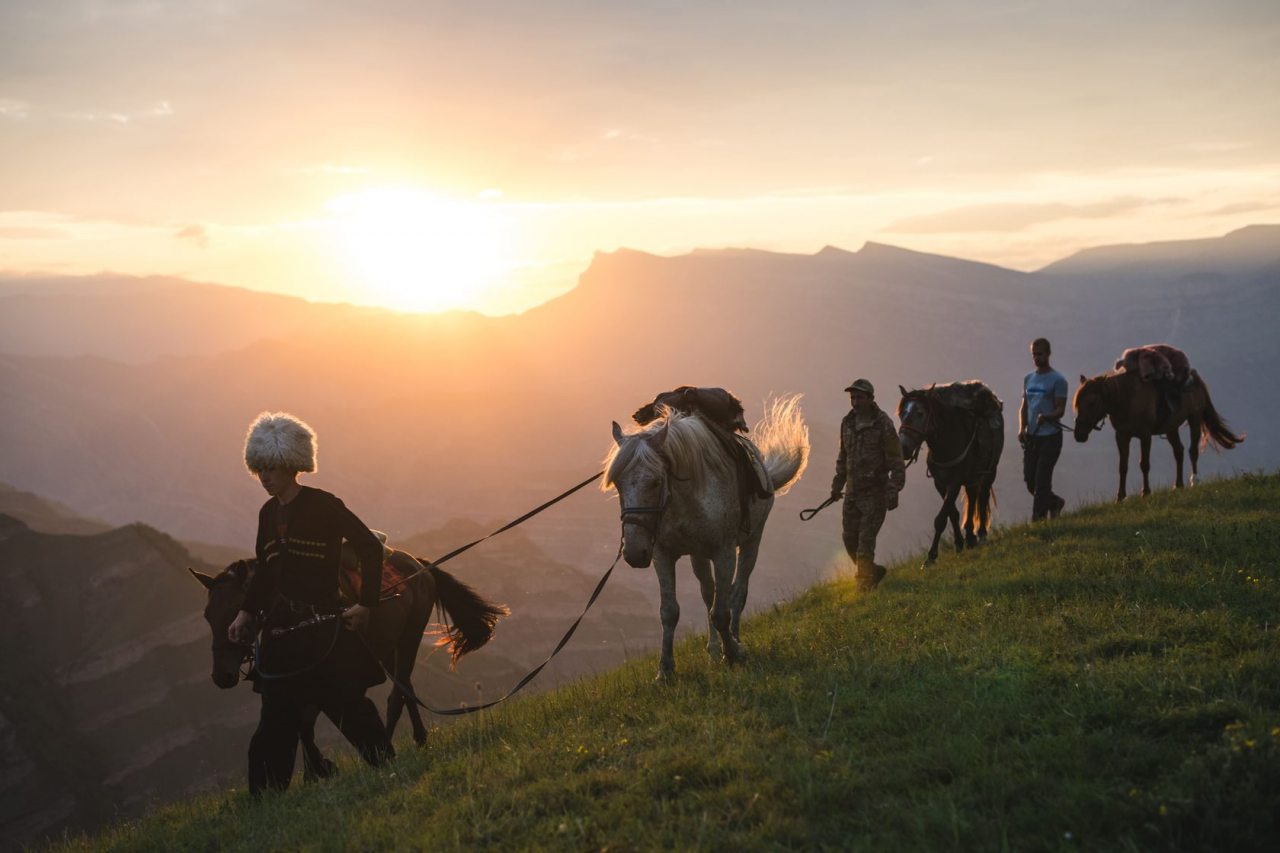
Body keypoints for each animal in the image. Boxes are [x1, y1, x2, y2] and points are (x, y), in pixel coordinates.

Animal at [192, 548, 506, 758]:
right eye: (207, 615)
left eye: (236, 609)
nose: (222, 676)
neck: (299, 614)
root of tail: (419, 565)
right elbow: (304, 724)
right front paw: (317, 774)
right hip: (390, 645)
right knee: (405, 688)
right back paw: (418, 737)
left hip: (410, 636)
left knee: (397, 695)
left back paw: (389, 744)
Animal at [601, 394, 803, 676]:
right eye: (618, 484)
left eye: (655, 481)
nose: (634, 552)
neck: (683, 498)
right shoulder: (662, 555)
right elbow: (669, 612)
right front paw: (666, 669)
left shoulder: (724, 553)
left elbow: (722, 611)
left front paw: (734, 653)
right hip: (698, 556)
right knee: (709, 595)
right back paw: (714, 649)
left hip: (752, 541)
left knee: (737, 593)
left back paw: (736, 640)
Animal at [896, 379, 1003, 563]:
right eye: (902, 414)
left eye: (920, 413)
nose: (904, 447)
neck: (947, 443)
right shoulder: (940, 484)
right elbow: (952, 514)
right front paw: (959, 544)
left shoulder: (954, 483)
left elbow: (940, 519)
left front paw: (931, 556)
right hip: (972, 477)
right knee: (972, 497)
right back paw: (970, 537)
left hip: (990, 472)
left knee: (982, 497)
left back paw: (981, 534)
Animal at [1070, 366, 1239, 499]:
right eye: (1077, 404)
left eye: (1092, 403)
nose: (1079, 434)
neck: (1127, 398)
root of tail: (1195, 376)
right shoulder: (1122, 436)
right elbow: (1122, 466)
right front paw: (1120, 496)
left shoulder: (1145, 436)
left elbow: (1144, 464)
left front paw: (1145, 492)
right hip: (1171, 428)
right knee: (1179, 451)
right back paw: (1178, 484)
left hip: (1194, 419)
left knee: (1192, 451)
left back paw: (1194, 481)